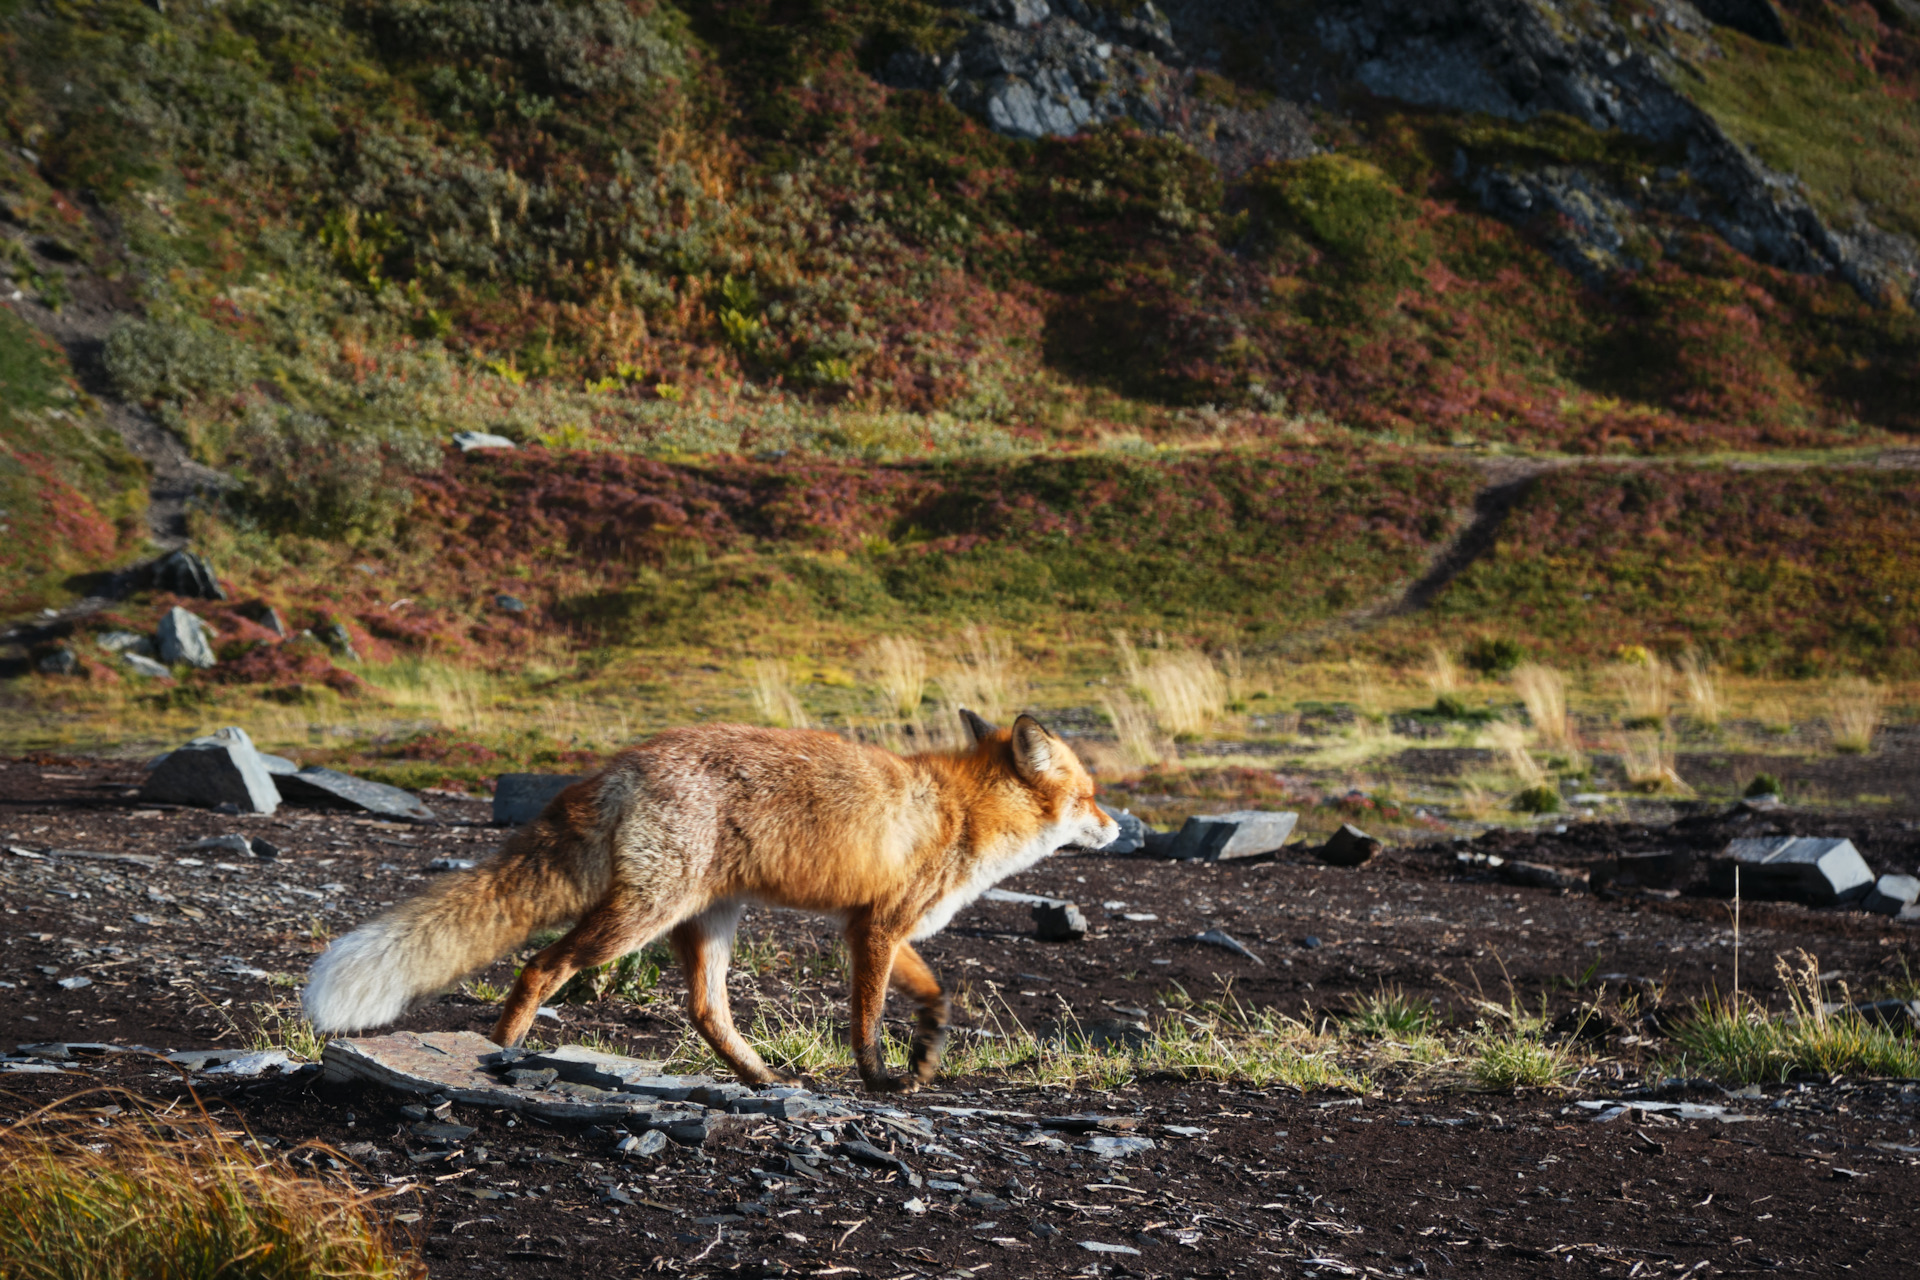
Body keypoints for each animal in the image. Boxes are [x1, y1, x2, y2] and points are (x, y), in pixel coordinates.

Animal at [297, 710, 1113, 1090]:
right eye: (1092, 797)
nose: (1116, 825)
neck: (965, 811)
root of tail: (622, 763)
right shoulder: (876, 929)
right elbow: (867, 1019)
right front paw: (879, 1078)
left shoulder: (875, 926)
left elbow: (933, 993)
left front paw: (925, 1053)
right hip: (637, 919)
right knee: (540, 966)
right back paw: (500, 1049)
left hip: (708, 922)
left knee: (705, 1010)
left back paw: (760, 1078)